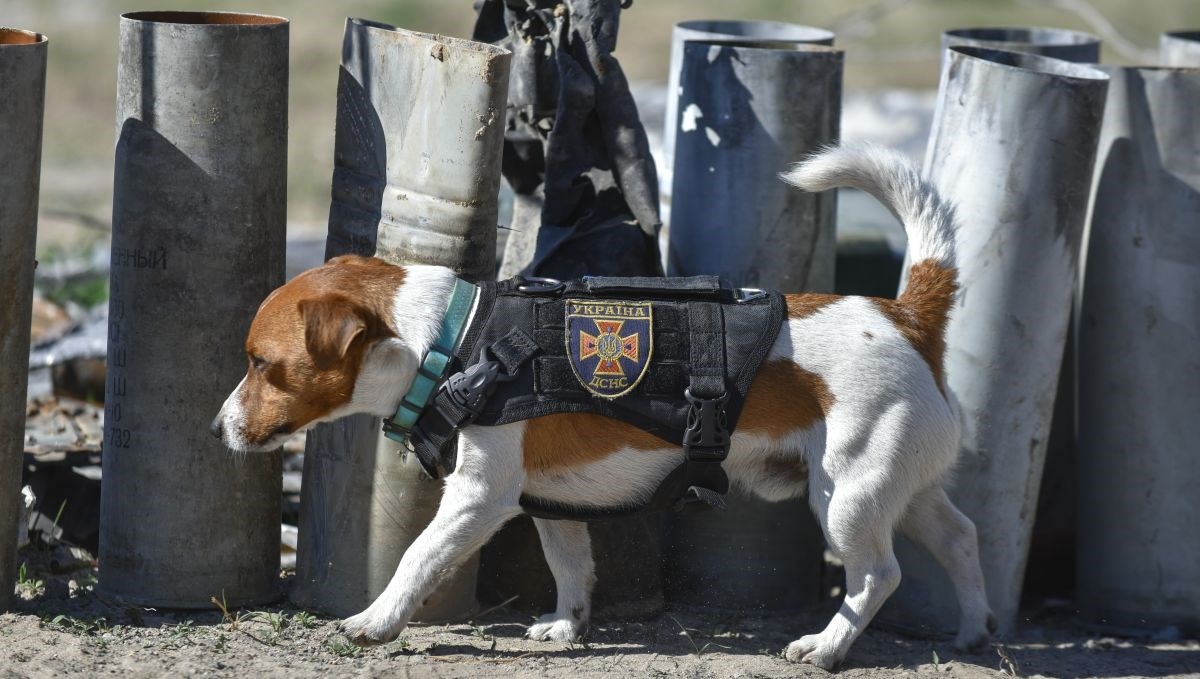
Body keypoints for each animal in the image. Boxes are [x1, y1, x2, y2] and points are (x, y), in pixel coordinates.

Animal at [213, 143, 993, 671]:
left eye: (261, 364)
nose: (217, 428)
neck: (451, 341)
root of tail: (906, 314)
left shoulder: (478, 498)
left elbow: (416, 558)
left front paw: (375, 621)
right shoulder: (550, 501)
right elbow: (570, 566)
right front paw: (568, 625)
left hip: (847, 498)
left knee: (878, 575)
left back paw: (827, 646)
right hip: (900, 488)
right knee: (959, 537)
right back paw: (974, 629)